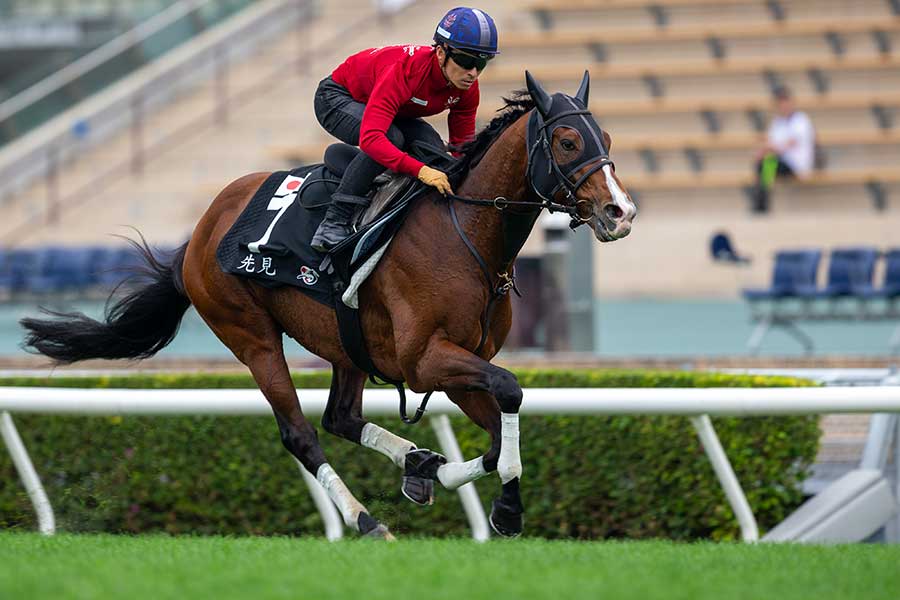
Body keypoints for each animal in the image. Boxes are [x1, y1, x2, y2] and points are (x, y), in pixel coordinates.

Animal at [22, 70, 640, 540]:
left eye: (607, 137)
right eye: (567, 142)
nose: (621, 212)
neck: (466, 232)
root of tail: (199, 232)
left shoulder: (462, 361)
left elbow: (495, 436)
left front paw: (440, 474)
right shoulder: (426, 359)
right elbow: (510, 391)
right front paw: (506, 510)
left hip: (347, 343)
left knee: (340, 416)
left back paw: (415, 463)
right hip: (250, 334)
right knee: (300, 433)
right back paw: (366, 521)